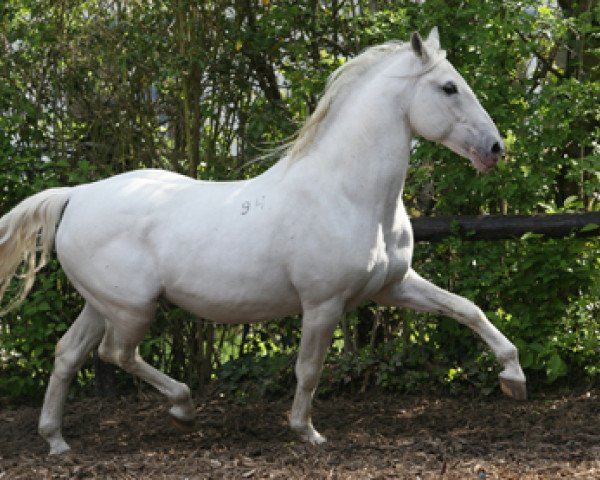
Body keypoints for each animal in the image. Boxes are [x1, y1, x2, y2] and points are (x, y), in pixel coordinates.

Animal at [0, 28, 524, 456]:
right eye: (449, 87)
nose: (496, 148)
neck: (348, 195)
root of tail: (77, 194)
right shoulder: (323, 303)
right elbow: (309, 368)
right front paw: (306, 432)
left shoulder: (393, 286)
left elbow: (468, 309)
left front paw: (514, 379)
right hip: (133, 308)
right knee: (115, 354)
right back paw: (182, 409)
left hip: (102, 304)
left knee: (68, 354)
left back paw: (57, 440)